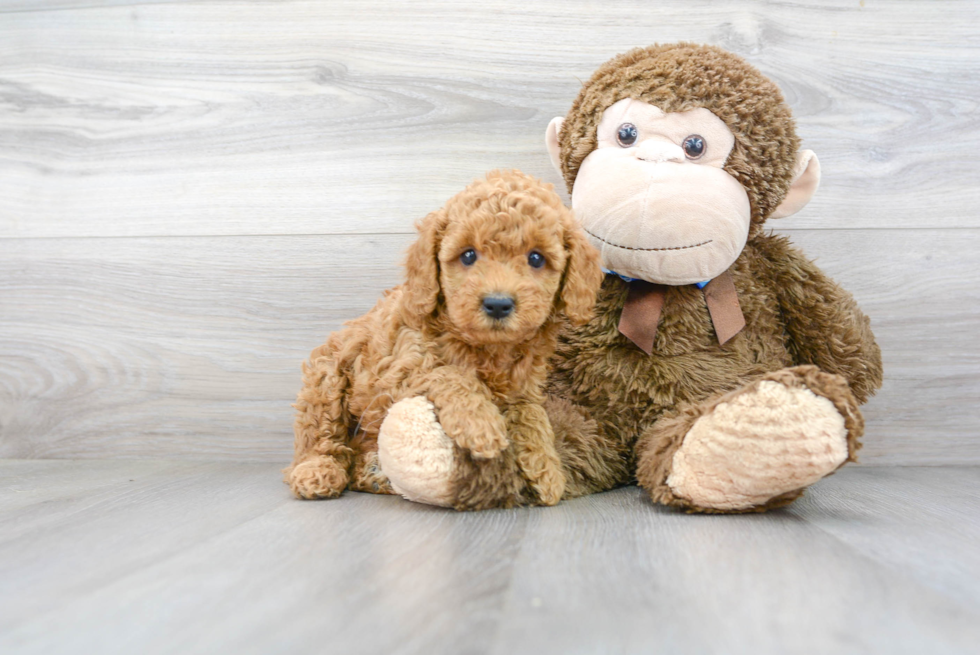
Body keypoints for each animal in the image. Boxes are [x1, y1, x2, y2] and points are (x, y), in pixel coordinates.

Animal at [286, 169, 604, 508]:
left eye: (536, 258)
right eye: (468, 255)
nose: (498, 304)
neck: (488, 350)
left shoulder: (524, 388)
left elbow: (532, 413)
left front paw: (547, 466)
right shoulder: (394, 373)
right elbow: (448, 373)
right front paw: (481, 424)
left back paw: (374, 472)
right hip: (327, 379)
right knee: (319, 436)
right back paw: (318, 471)